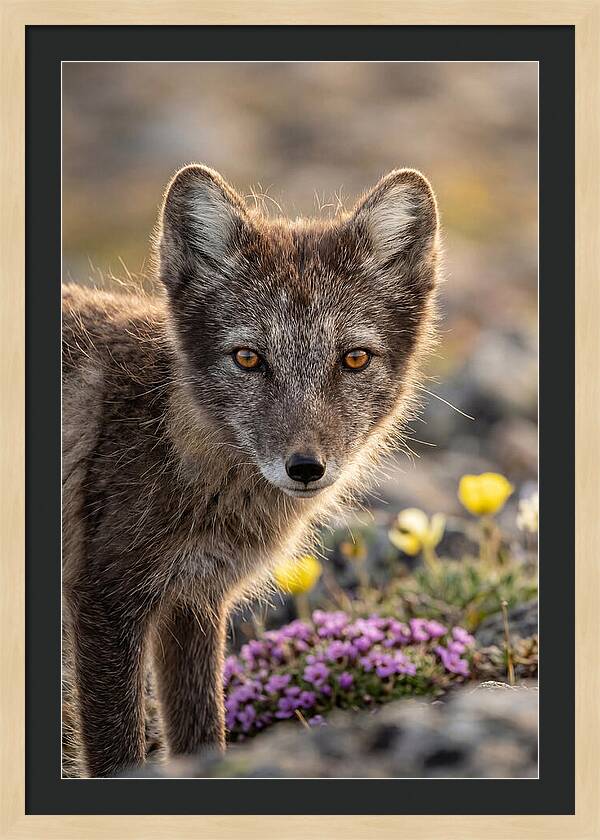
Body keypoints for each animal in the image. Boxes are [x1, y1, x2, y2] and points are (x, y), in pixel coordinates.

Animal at [62, 164, 441, 777]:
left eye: (354, 359)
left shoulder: (193, 602)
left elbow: (201, 736)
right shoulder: (105, 599)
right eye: (248, 358)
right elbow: (118, 753)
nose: (306, 468)